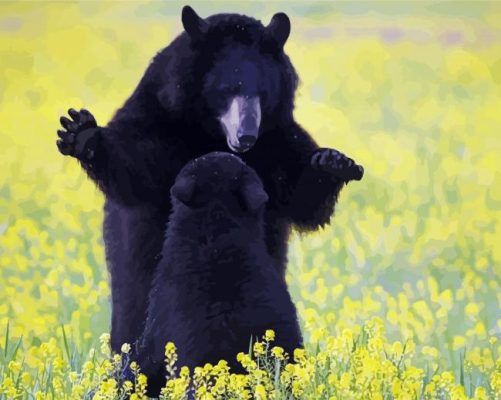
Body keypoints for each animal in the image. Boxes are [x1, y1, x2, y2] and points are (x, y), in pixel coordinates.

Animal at [56, 5, 364, 350]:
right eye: (227, 89)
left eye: (262, 92)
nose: (246, 136)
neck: (209, 132)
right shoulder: (160, 121)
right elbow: (136, 164)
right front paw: (82, 134)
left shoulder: (276, 139)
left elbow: (301, 195)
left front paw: (333, 163)